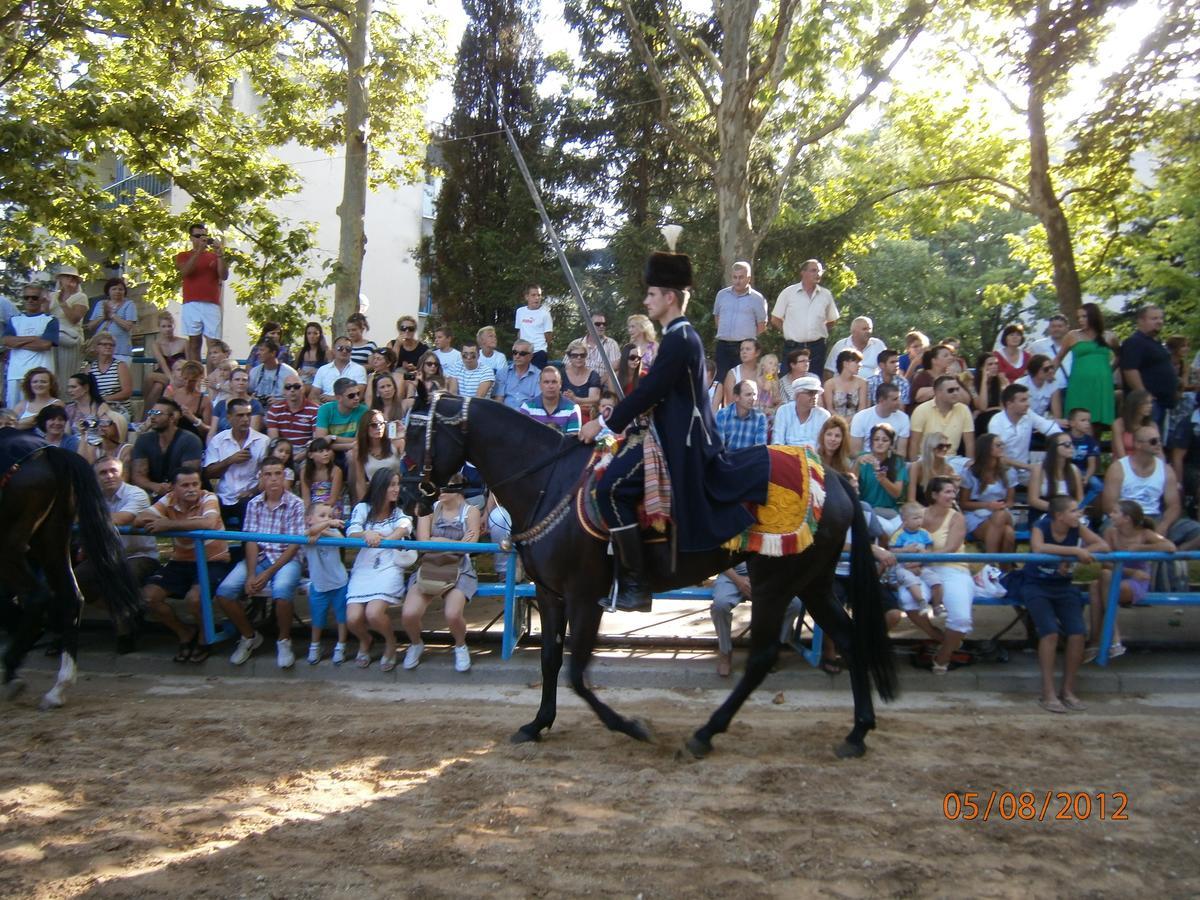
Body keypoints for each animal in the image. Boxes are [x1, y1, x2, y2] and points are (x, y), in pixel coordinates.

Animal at [0, 429, 141, 710]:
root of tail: (49, 452)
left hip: (11, 543)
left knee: (38, 596)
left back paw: (14, 671)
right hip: (51, 536)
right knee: (70, 597)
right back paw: (58, 687)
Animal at [408, 393, 897, 763]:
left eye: (416, 434)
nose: (412, 495)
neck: (550, 480)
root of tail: (832, 477)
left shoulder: (585, 598)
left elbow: (576, 674)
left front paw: (630, 726)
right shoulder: (551, 596)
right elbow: (550, 661)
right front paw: (537, 724)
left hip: (775, 583)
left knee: (762, 658)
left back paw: (705, 734)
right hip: (812, 582)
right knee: (850, 641)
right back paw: (857, 733)